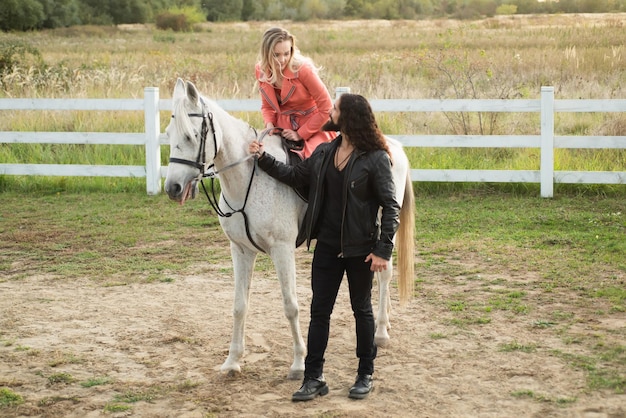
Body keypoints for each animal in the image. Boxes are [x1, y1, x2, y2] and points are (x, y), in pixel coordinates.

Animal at [163, 77, 412, 378]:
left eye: (191, 136)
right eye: (168, 134)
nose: (173, 188)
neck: (249, 178)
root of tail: (391, 145)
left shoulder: (282, 250)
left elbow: (290, 306)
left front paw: (298, 363)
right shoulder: (241, 250)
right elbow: (239, 306)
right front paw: (233, 360)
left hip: (385, 225)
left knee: (384, 273)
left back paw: (381, 332)